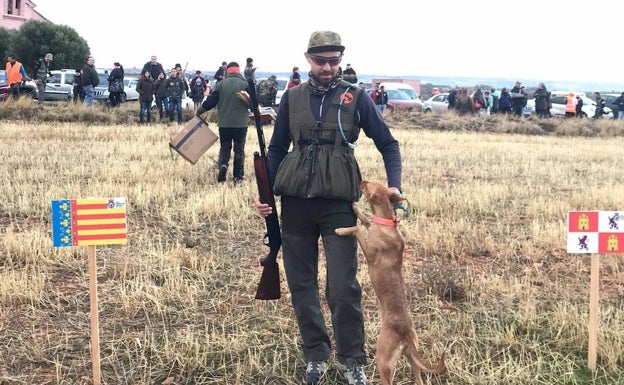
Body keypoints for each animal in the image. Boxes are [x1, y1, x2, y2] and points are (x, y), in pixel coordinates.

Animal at [334, 181, 446, 384]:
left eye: (367, 186)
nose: (361, 180)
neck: (386, 224)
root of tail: (404, 333)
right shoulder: (371, 225)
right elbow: (365, 219)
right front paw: (355, 208)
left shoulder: (370, 254)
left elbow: (357, 229)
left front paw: (341, 230)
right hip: (411, 357)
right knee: (419, 378)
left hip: (383, 361)